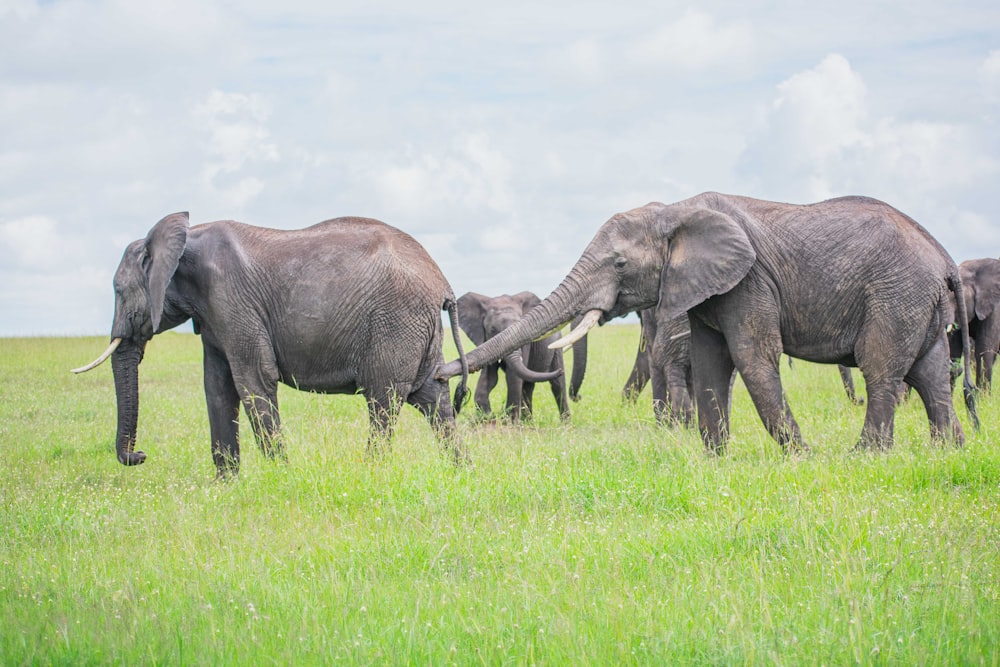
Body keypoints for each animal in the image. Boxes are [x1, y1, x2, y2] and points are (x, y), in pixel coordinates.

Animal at [74, 211, 472, 478]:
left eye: (118, 291)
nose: (140, 456)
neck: (185, 238)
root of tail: (442, 282)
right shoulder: (214, 314)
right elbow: (217, 387)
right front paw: (226, 486)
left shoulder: (230, 299)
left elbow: (252, 381)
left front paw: (280, 478)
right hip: (417, 329)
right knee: (433, 398)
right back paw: (461, 472)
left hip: (396, 322)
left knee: (384, 399)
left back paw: (373, 472)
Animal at [456, 292, 568, 422]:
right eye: (493, 330)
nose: (560, 371)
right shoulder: (486, 340)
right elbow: (490, 377)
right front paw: (488, 417)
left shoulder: (526, 342)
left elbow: (513, 376)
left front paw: (509, 422)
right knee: (528, 385)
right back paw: (528, 421)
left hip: (557, 344)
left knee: (557, 385)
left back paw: (566, 423)